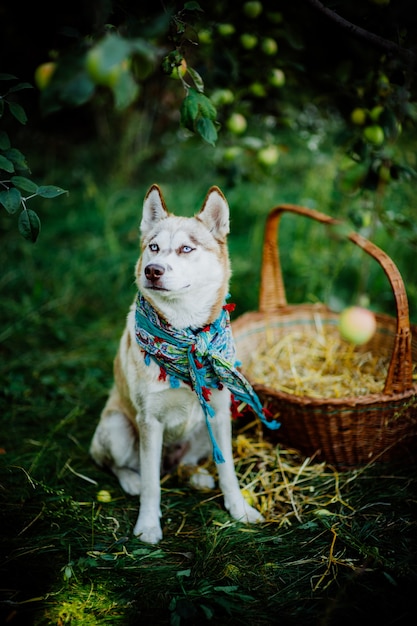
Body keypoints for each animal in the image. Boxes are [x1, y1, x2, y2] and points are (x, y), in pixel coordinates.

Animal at [90, 184, 266, 540]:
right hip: (117, 428)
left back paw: (196, 475)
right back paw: (130, 480)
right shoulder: (149, 421)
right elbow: (151, 485)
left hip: (203, 430)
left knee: (190, 462)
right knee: (116, 463)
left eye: (186, 248)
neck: (186, 334)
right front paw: (147, 525)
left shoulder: (220, 413)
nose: (152, 270)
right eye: (154, 247)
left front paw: (239, 510)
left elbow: (228, 469)